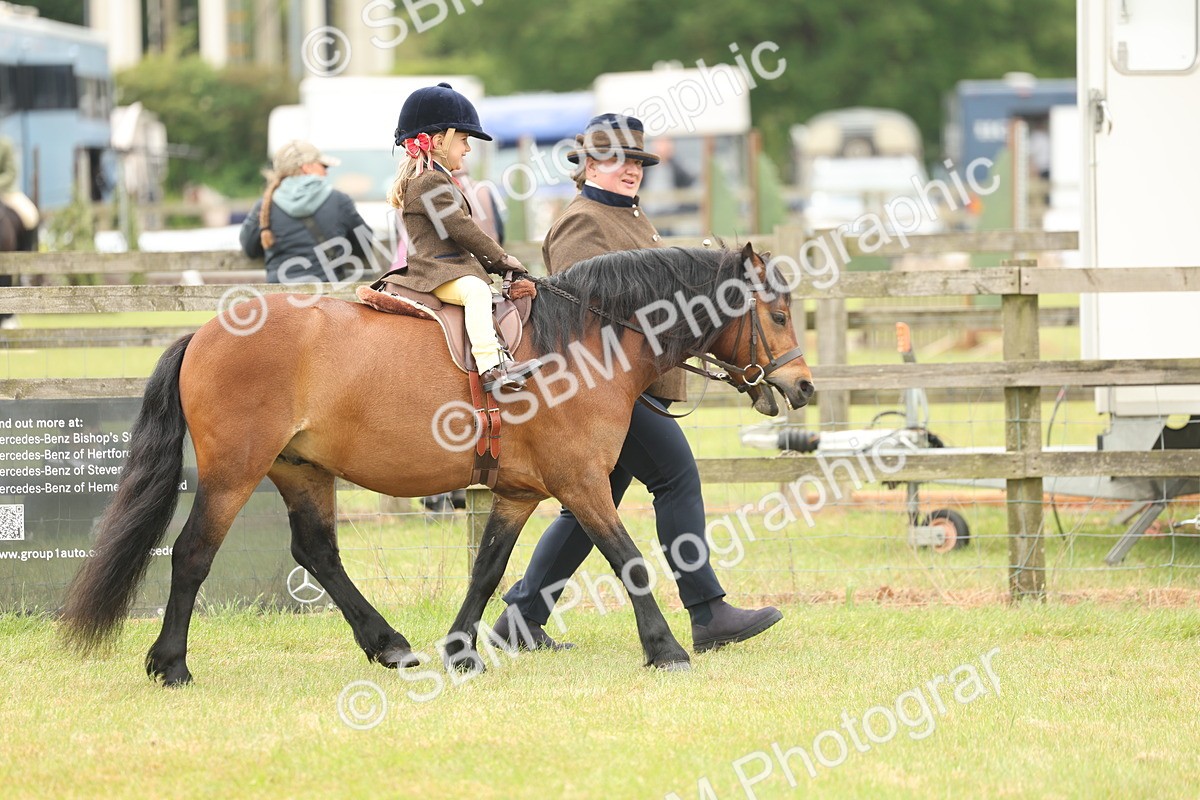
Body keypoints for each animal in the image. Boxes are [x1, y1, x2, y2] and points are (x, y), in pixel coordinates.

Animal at [61, 243, 815, 685]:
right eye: (776, 314)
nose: (804, 385)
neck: (580, 342)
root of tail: (205, 331)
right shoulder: (582, 485)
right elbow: (628, 559)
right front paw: (666, 650)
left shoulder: (518, 493)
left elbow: (488, 569)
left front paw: (461, 650)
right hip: (233, 474)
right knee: (192, 553)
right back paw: (171, 665)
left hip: (300, 470)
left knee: (317, 552)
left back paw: (389, 644)